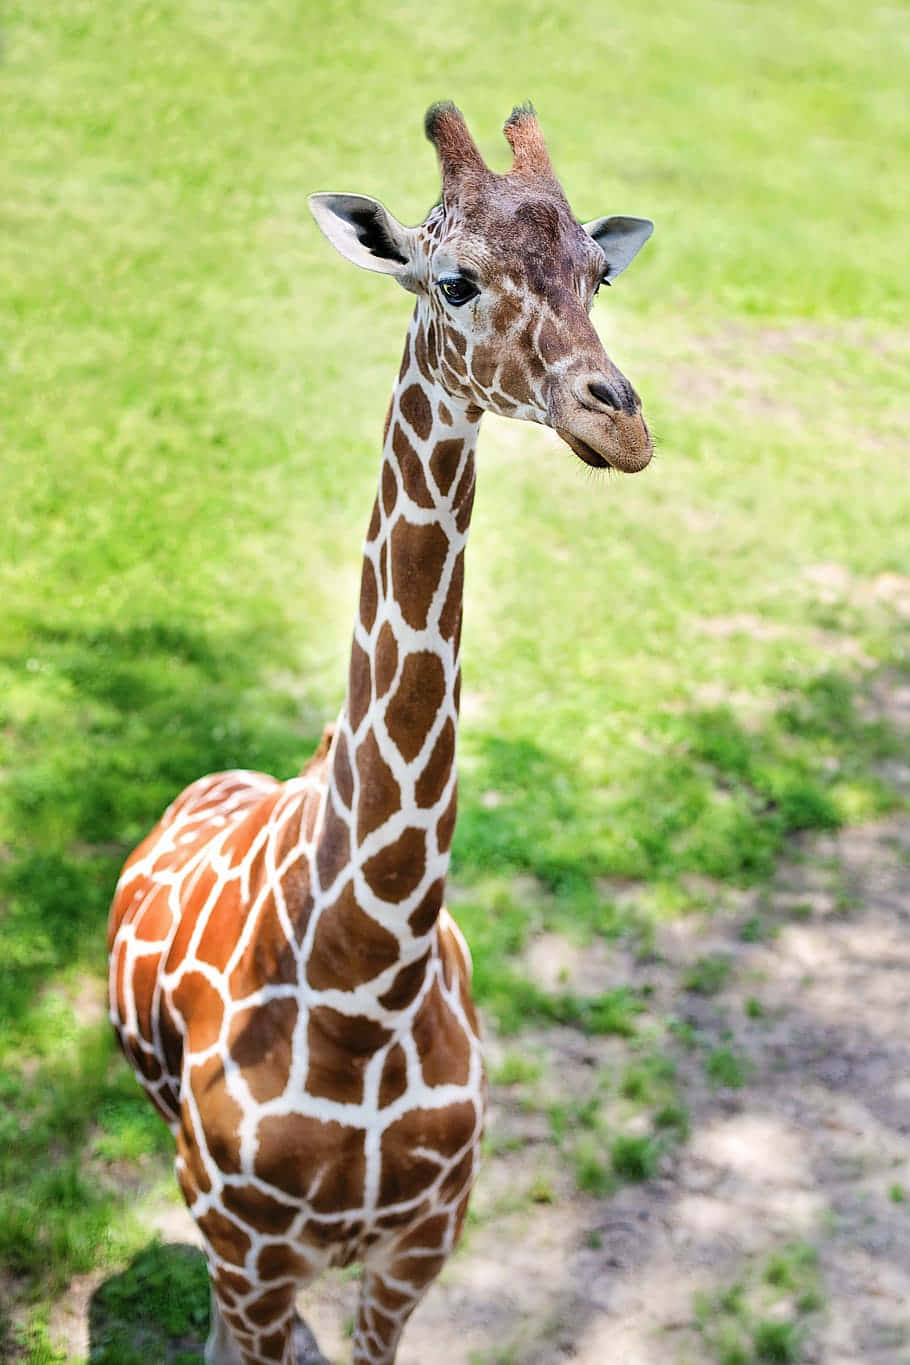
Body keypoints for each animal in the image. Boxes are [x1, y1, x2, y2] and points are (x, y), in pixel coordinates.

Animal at [107, 101, 654, 1359]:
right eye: (451, 279)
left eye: (599, 273)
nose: (622, 426)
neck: (365, 981)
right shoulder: (251, 1250)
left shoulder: (419, 1243)